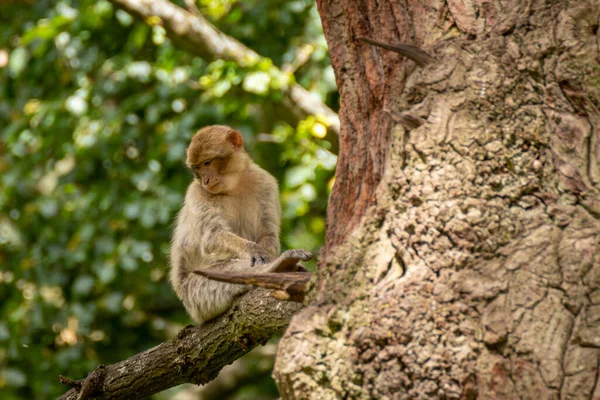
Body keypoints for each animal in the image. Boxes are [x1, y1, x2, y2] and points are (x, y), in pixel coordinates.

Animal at [168, 126, 310, 324]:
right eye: (197, 168)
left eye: (207, 163)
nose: (205, 180)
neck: (234, 184)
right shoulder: (197, 193)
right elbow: (212, 236)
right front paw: (254, 251)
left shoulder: (265, 182)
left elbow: (267, 233)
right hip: (196, 296)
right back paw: (276, 267)